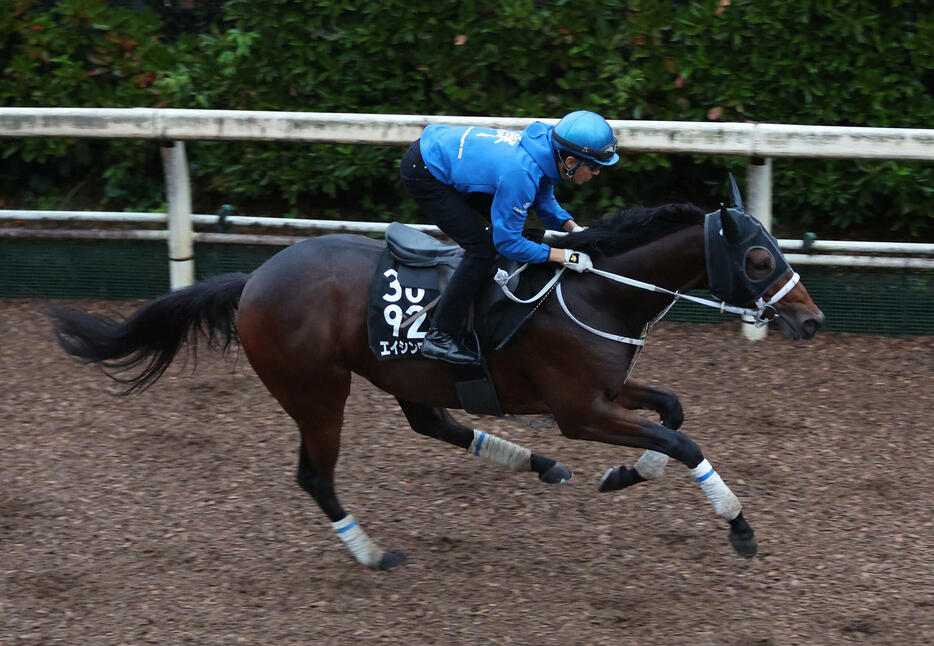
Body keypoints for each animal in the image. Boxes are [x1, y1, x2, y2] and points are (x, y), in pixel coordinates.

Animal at [49, 187, 828, 572]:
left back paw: (539, 464)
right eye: (759, 259)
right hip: (316, 391)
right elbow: (685, 443)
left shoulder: (607, 393)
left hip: (402, 371)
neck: (595, 290)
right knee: (315, 476)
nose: (812, 319)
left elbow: (673, 411)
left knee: (433, 422)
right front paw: (739, 527)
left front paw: (623, 473)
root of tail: (252, 282)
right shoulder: (579, 410)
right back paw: (370, 552)